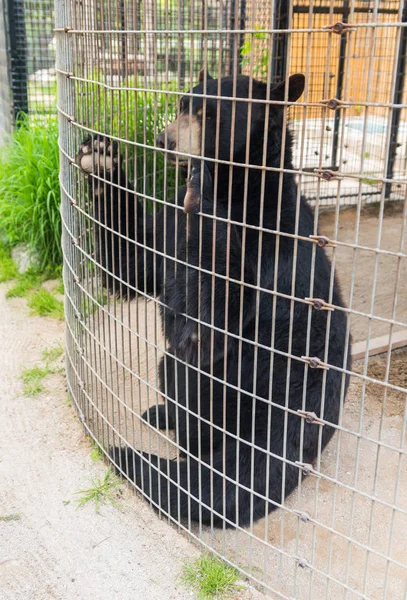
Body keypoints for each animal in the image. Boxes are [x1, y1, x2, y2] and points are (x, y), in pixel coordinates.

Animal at [78, 72, 352, 528]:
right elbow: (130, 264)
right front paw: (99, 156)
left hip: (234, 391)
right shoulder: (167, 230)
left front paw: (201, 194)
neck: (235, 188)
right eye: (181, 105)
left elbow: (214, 319)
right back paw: (160, 414)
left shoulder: (265, 249)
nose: (165, 140)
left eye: (211, 116)